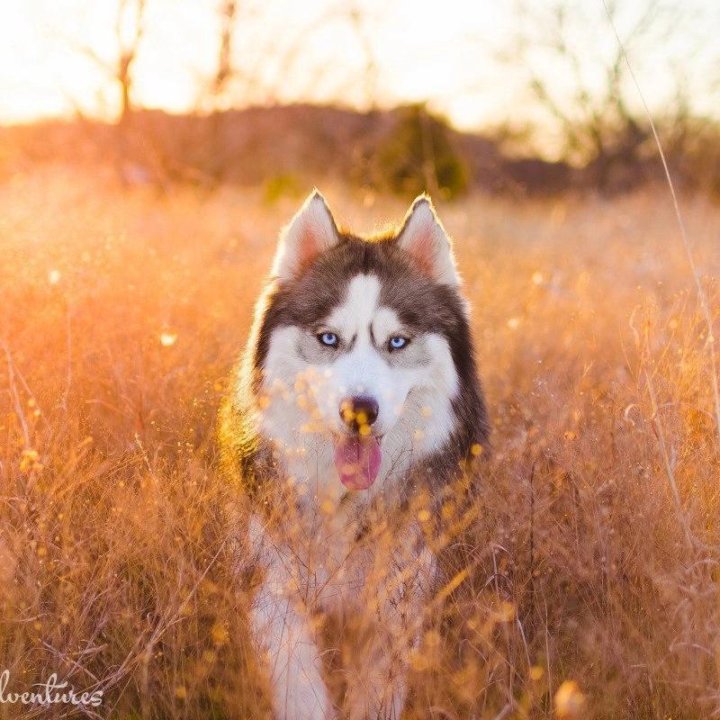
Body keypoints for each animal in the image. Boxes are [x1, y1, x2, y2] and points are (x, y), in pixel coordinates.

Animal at [219, 193, 490, 720]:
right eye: (329, 338)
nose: (360, 411)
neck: (344, 501)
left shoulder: (395, 604)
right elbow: (301, 691)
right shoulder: (277, 592)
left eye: (397, 342)